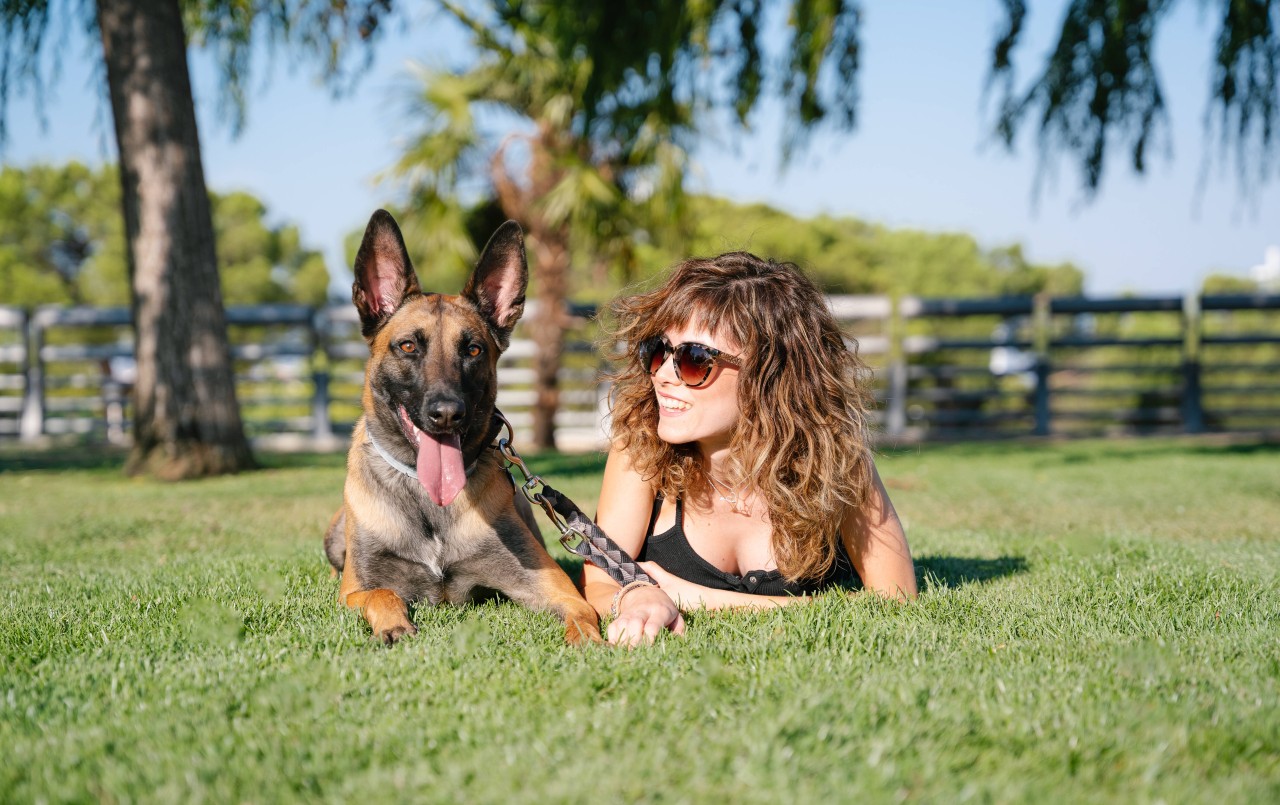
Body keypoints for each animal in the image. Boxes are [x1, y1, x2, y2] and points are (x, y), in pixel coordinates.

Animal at [320, 209, 599, 642]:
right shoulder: (355, 590)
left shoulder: (553, 586)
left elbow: (583, 614)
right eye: (408, 346)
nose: (447, 413)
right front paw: (396, 625)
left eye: (473, 349)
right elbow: (383, 593)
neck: (428, 501)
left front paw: (589, 639)